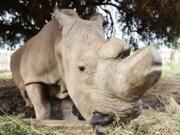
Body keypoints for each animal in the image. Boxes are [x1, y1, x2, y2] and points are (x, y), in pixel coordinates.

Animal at [10, 8, 162, 130]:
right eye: (82, 68)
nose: (125, 117)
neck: (59, 43)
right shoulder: (34, 77)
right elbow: (42, 105)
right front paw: (41, 121)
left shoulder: (68, 76)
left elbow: (67, 103)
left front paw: (72, 120)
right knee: (23, 88)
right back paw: (29, 106)